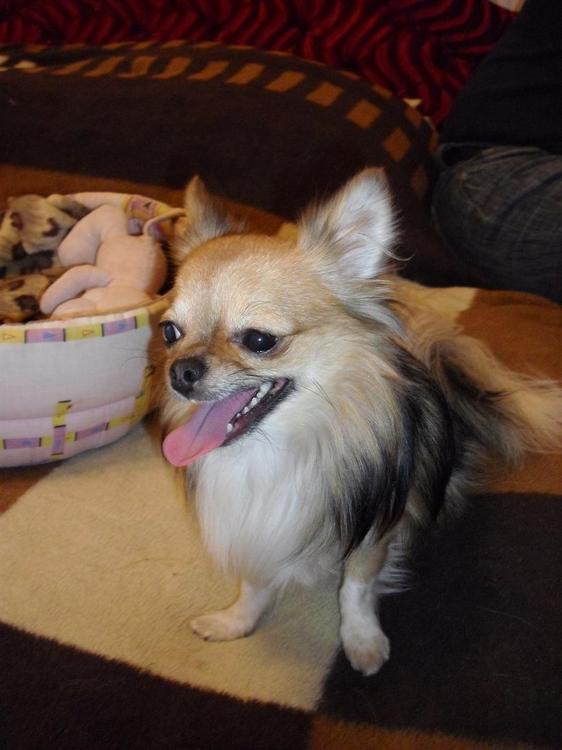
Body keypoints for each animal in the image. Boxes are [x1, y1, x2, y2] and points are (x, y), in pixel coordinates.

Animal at [157, 169, 561, 676]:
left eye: (259, 340)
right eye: (169, 332)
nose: (180, 372)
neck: (278, 452)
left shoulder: (375, 530)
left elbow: (355, 588)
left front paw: (362, 641)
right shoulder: (253, 529)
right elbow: (255, 581)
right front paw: (237, 621)